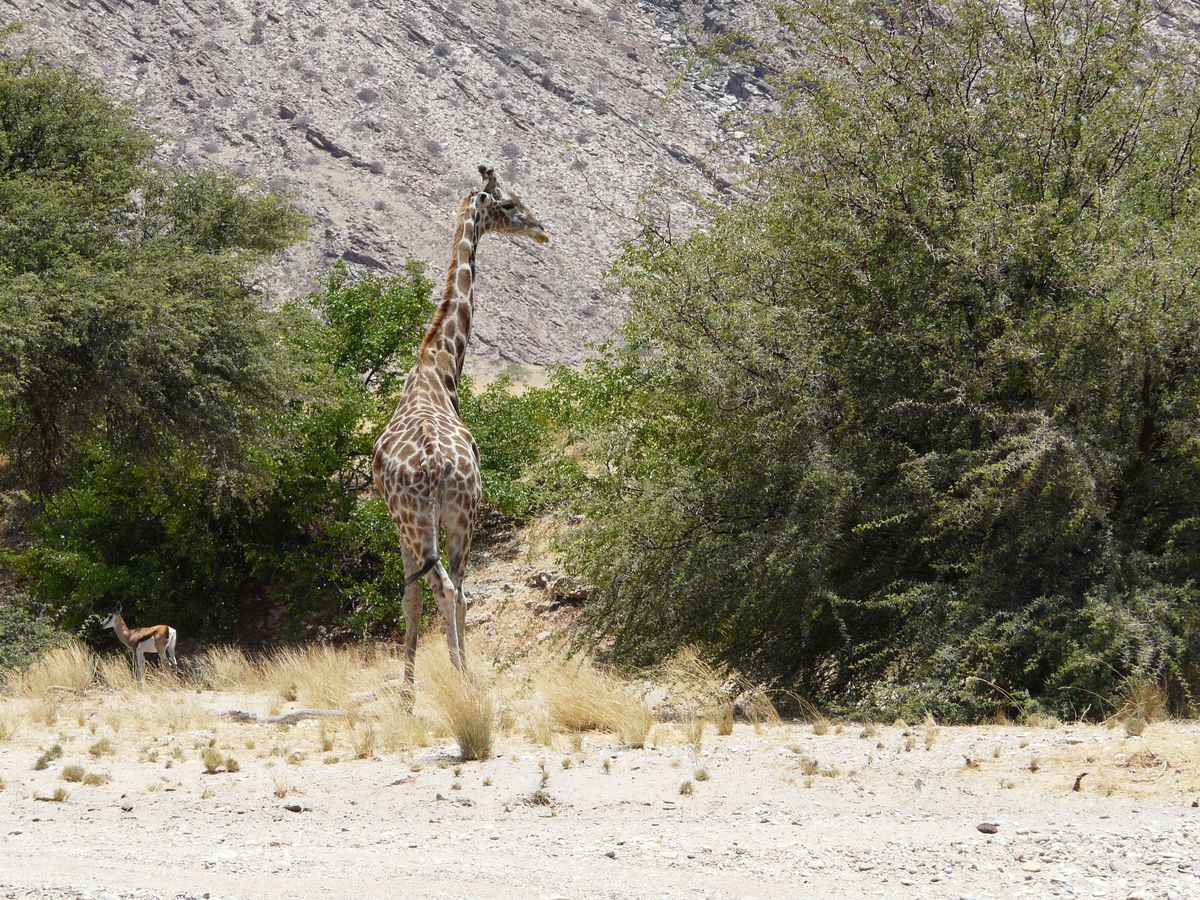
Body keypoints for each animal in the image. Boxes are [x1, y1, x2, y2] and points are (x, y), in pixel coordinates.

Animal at [373, 165, 548, 685]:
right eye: (508, 203)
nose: (541, 230)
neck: (436, 368)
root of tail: (434, 466)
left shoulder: (399, 523)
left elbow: (411, 599)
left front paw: (409, 691)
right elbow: (418, 597)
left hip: (429, 520)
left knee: (448, 589)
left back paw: (457, 680)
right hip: (456, 515)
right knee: (459, 589)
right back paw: (463, 678)